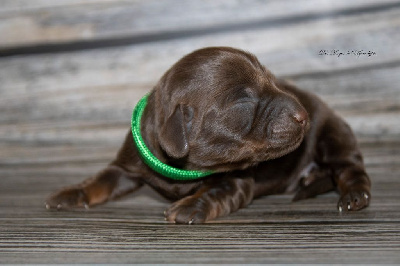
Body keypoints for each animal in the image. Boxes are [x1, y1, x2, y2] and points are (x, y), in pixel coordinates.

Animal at [45, 46, 370, 223]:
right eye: (243, 100)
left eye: (273, 81)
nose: (304, 116)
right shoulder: (127, 166)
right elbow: (100, 180)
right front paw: (71, 192)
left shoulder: (237, 180)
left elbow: (215, 189)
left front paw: (191, 205)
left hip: (334, 137)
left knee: (351, 170)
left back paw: (354, 196)